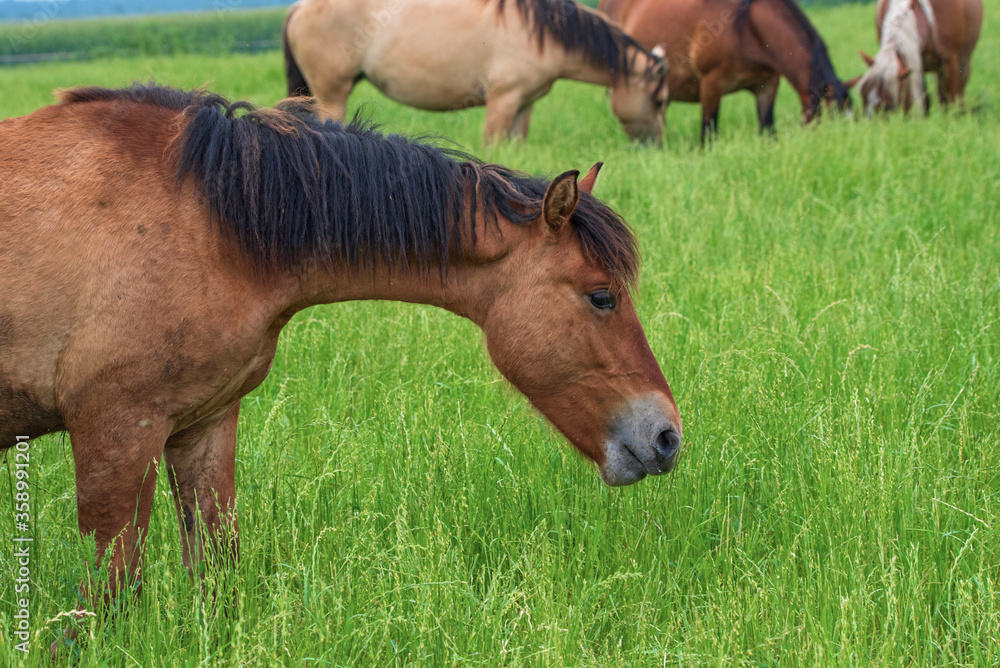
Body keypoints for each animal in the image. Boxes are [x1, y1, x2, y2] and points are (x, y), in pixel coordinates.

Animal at [0, 84, 683, 620]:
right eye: (602, 296)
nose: (667, 436)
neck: (208, 225)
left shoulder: (202, 426)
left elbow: (215, 571)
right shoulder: (115, 434)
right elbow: (106, 601)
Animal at [282, 0, 670, 144]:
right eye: (661, 101)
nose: (654, 147)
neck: (543, 34)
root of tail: (299, 8)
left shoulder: (523, 105)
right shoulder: (503, 100)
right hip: (332, 93)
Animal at [599, 0, 851, 143]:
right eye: (831, 122)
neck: (745, 25)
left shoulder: (768, 85)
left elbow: (768, 131)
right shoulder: (711, 83)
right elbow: (708, 135)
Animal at [850, 0, 982, 115]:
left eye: (888, 107)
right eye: (862, 95)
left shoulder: (948, 62)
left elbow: (948, 99)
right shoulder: (915, 64)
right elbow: (924, 100)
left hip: (964, 61)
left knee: (958, 91)